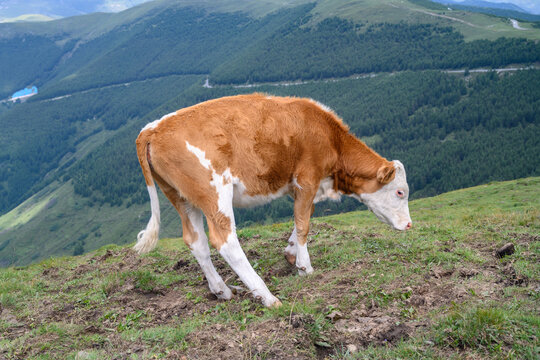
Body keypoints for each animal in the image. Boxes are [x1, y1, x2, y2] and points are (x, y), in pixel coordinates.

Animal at [133, 93, 412, 306]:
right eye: (400, 192)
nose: (409, 225)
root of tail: (153, 128)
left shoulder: (302, 186)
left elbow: (303, 217)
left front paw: (290, 253)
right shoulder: (307, 178)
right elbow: (303, 223)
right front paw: (305, 267)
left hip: (181, 197)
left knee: (196, 241)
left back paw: (223, 291)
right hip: (214, 192)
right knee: (225, 241)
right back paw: (267, 297)